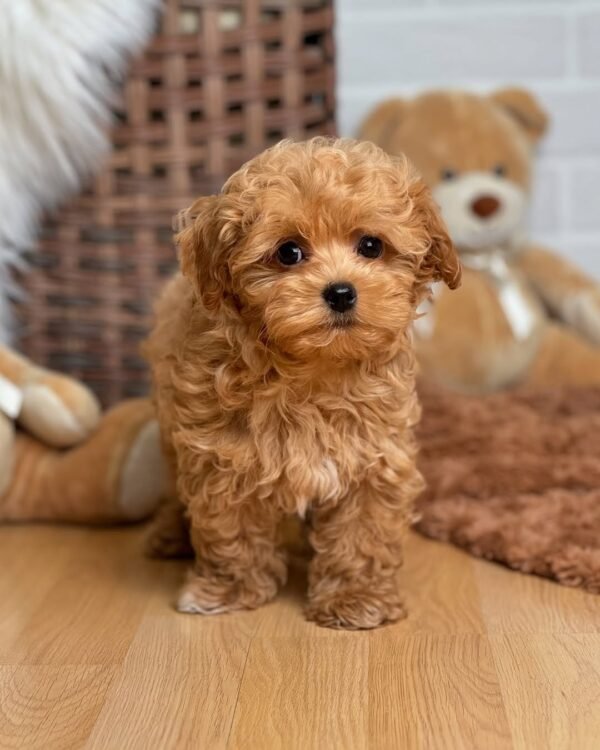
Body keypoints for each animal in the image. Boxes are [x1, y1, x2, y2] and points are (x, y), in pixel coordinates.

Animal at [145, 138, 460, 632]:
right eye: (288, 252)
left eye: (371, 246)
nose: (341, 291)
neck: (311, 371)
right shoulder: (223, 454)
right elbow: (230, 527)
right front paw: (229, 589)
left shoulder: (373, 454)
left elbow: (361, 532)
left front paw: (355, 598)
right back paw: (167, 533)